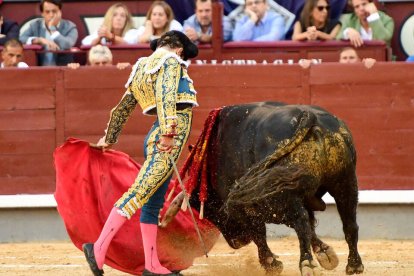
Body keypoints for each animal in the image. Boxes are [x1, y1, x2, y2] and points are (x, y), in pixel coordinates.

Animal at [163, 102, 364, 276]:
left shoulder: (250, 206)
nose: (237, 242)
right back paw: (354, 265)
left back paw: (307, 264)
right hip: (346, 182)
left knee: (301, 222)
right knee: (349, 223)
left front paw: (272, 264)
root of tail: (309, 117)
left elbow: (260, 233)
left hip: (283, 193)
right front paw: (326, 254)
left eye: (208, 208)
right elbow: (309, 224)